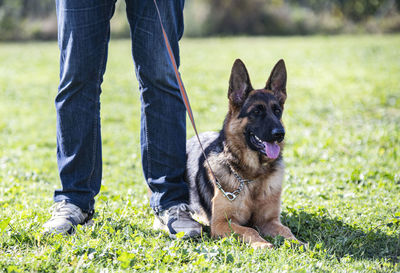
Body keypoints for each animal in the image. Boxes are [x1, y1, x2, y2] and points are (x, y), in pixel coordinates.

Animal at [184, 58, 296, 248]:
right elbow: (249, 230)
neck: (253, 176)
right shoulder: (221, 223)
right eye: (256, 111)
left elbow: (286, 231)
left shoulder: (269, 220)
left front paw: (298, 243)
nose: (280, 134)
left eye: (277, 111)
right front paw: (262, 244)